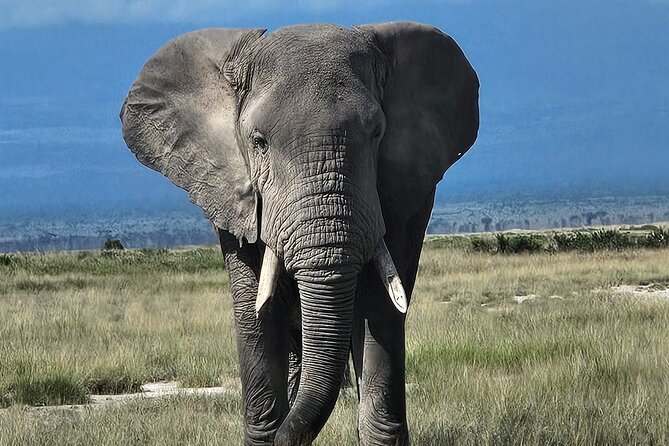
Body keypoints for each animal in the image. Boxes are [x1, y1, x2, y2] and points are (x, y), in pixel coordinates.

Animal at [120, 21, 478, 445]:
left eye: (377, 133)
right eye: (258, 142)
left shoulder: (402, 191)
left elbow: (381, 307)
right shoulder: (234, 194)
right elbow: (256, 312)